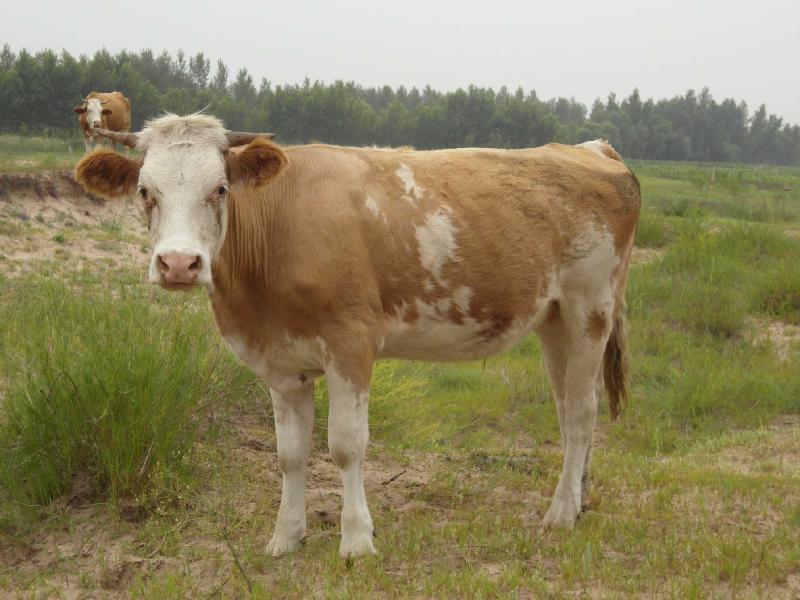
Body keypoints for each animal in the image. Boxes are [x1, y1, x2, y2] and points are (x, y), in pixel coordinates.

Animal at [73, 116, 636, 556]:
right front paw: (286, 537)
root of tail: (590, 148)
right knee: (569, 408)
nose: (178, 264)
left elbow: (345, 446)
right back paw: (579, 498)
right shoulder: (280, 362)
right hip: (554, 320)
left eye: (220, 189)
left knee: (581, 413)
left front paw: (357, 540)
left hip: (590, 308)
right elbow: (290, 454)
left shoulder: (351, 343)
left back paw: (560, 513)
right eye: (145, 192)